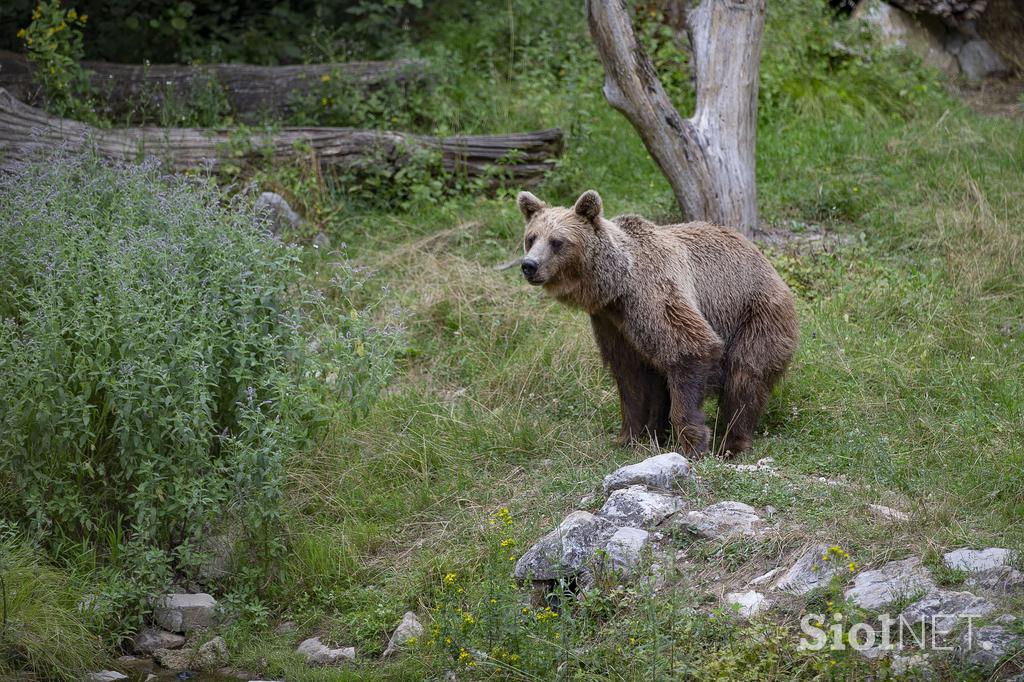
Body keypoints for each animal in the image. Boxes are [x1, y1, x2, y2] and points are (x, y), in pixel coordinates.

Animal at [516, 188, 794, 454]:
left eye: (557, 241)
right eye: (531, 238)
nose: (529, 265)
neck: (617, 286)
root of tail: (765, 261)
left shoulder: (653, 294)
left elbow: (691, 347)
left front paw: (693, 443)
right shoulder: (611, 323)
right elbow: (629, 377)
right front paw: (627, 437)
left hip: (755, 313)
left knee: (745, 375)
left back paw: (732, 444)